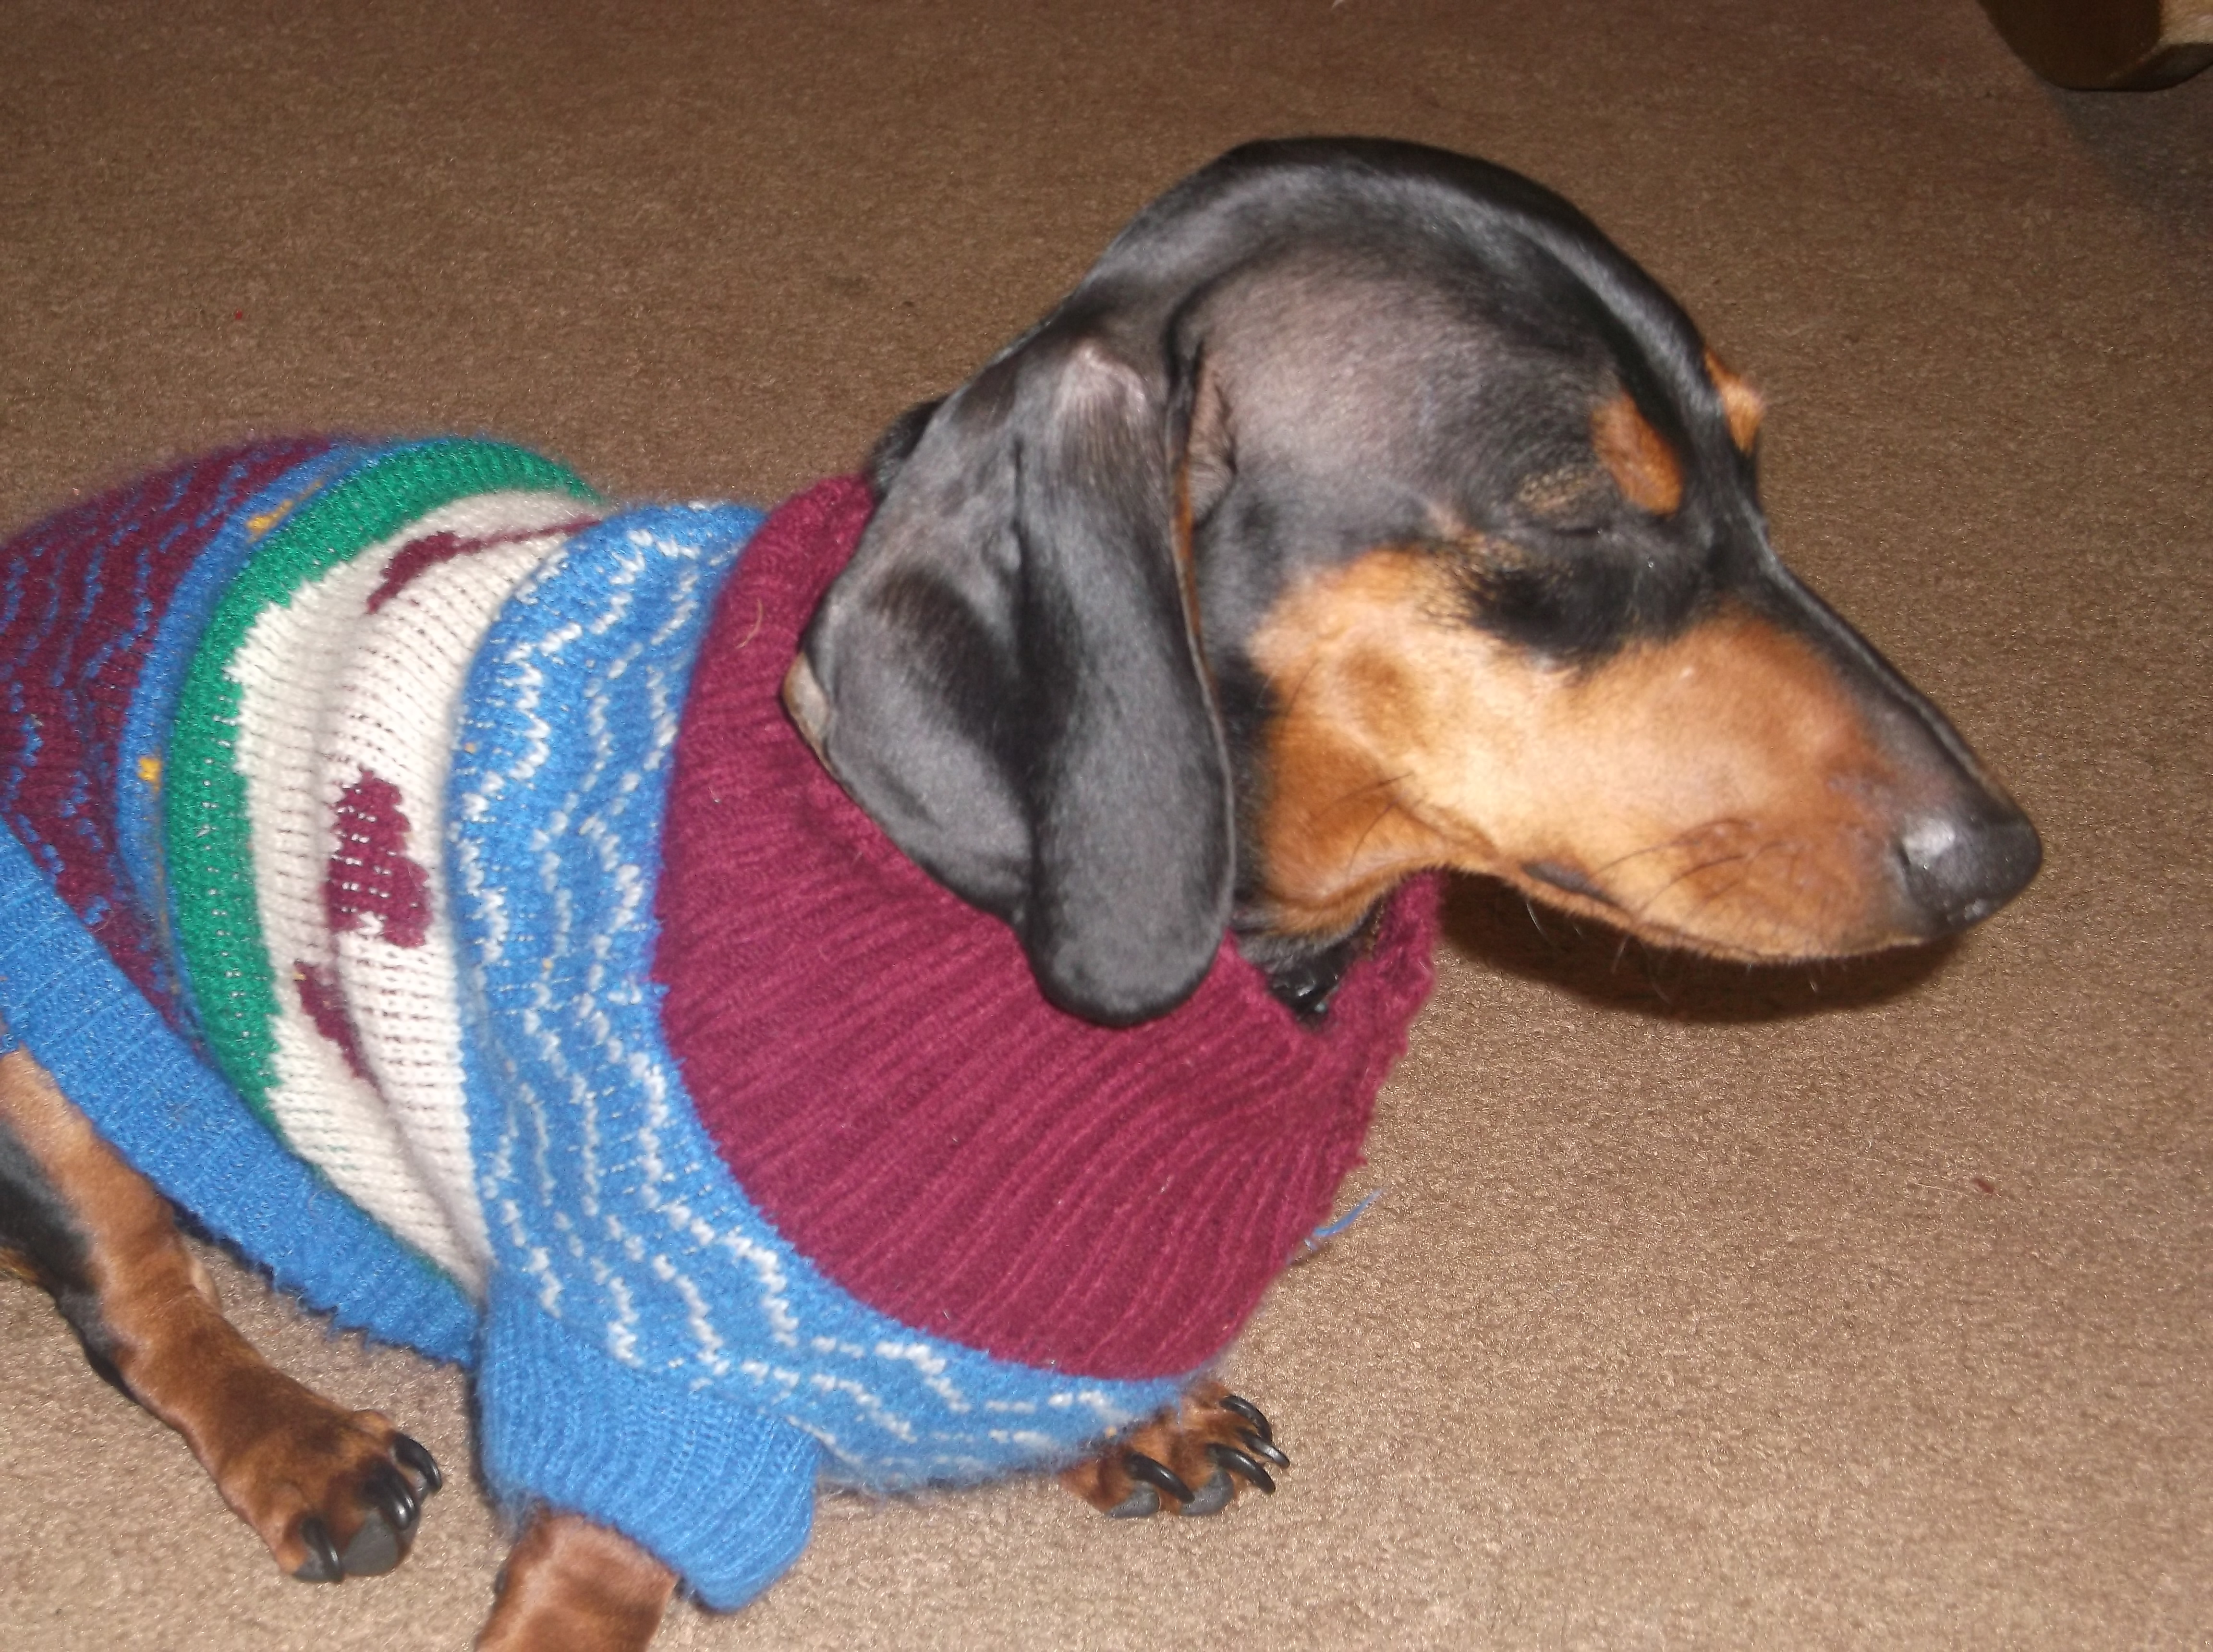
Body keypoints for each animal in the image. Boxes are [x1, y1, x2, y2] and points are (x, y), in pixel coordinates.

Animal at [0, 138, 2038, 1650]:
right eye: (1567, 507)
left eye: (1751, 472)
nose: (2000, 856)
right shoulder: (628, 1394)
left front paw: (1142, 1409)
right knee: (139, 1300)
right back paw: (304, 1441)